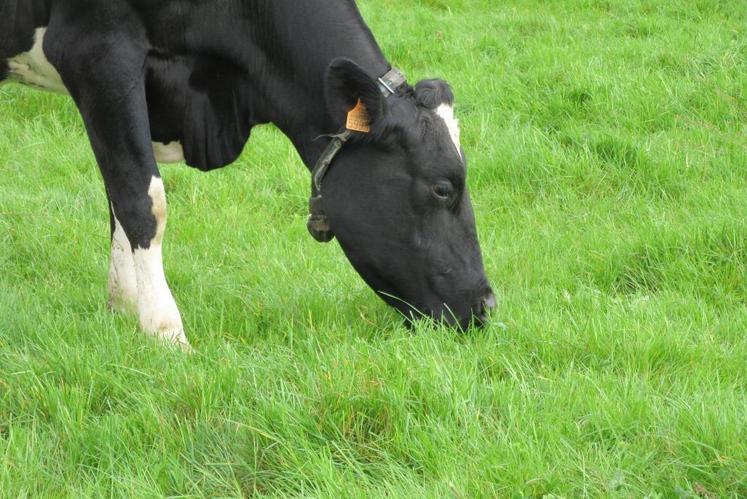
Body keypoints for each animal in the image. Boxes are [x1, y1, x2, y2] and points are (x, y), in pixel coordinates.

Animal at [4, 0, 496, 348]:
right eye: (442, 188)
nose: (487, 305)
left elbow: (118, 192)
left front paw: (124, 306)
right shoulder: (97, 50)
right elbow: (143, 201)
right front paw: (165, 332)